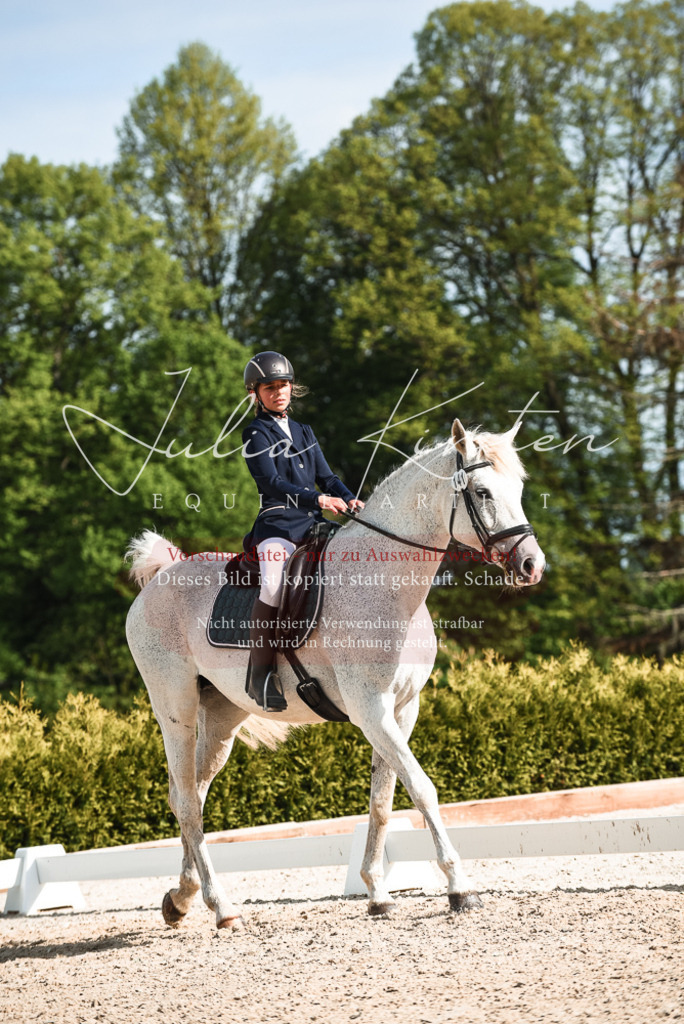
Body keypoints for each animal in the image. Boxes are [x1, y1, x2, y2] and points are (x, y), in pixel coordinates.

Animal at [125, 417, 545, 929]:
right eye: (482, 492)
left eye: (519, 489)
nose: (532, 565)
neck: (388, 587)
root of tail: (160, 577)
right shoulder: (371, 709)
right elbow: (422, 788)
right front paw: (459, 888)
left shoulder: (401, 709)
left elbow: (383, 801)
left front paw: (378, 893)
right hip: (176, 710)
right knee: (186, 801)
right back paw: (221, 908)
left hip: (222, 716)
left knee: (193, 796)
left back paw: (182, 898)